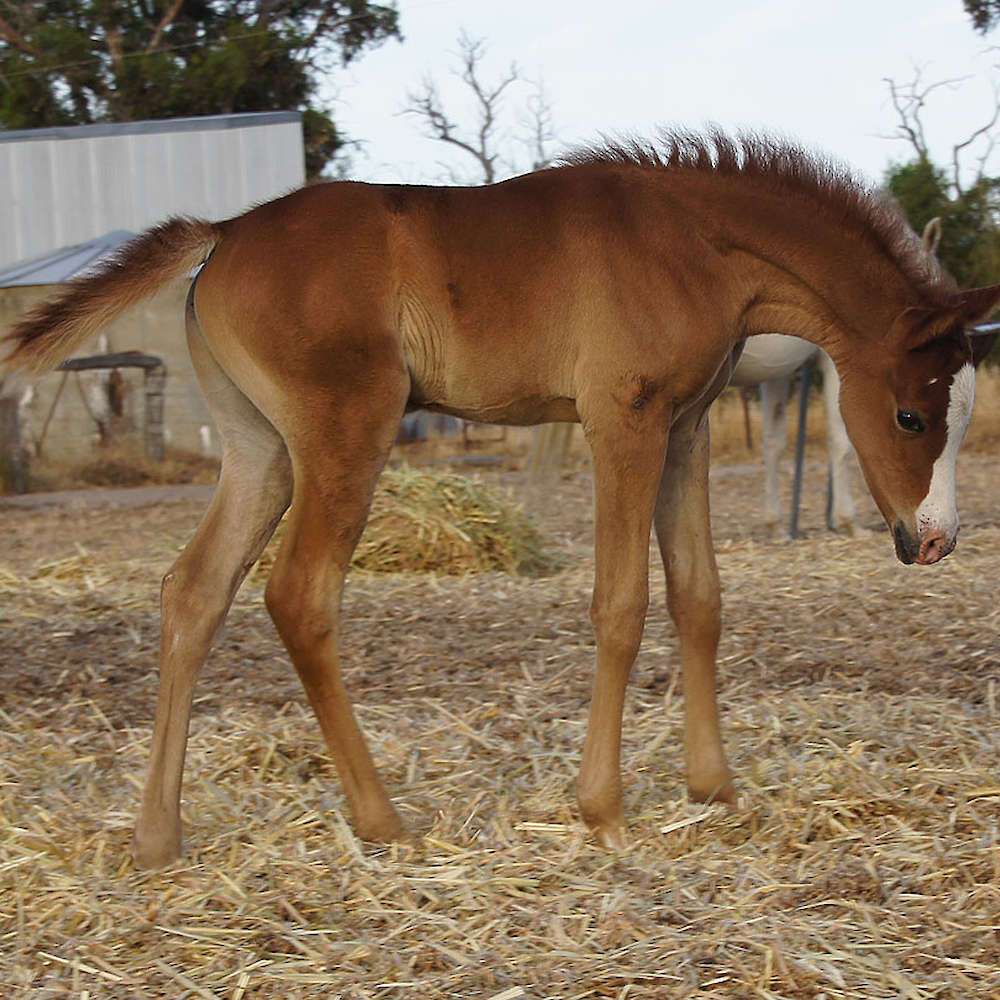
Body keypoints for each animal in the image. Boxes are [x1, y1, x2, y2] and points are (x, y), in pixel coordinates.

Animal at [4, 129, 996, 869]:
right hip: (346, 432)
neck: (685, 241)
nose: (935, 539)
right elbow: (622, 603)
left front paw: (714, 788)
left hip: (259, 450)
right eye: (909, 415)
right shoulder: (622, 422)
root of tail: (223, 230)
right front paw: (602, 808)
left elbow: (701, 597)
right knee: (299, 595)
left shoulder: (686, 428)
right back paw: (384, 821)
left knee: (195, 590)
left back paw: (158, 838)